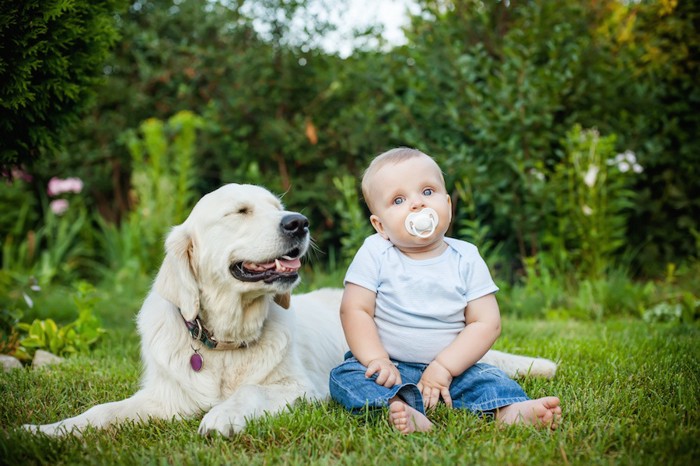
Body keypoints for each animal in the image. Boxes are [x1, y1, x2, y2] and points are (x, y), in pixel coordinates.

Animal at [23, 183, 556, 436]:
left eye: (277, 207)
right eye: (239, 212)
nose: (298, 222)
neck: (223, 343)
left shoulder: (300, 389)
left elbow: (250, 393)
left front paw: (223, 416)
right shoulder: (164, 398)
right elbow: (101, 411)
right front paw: (46, 430)